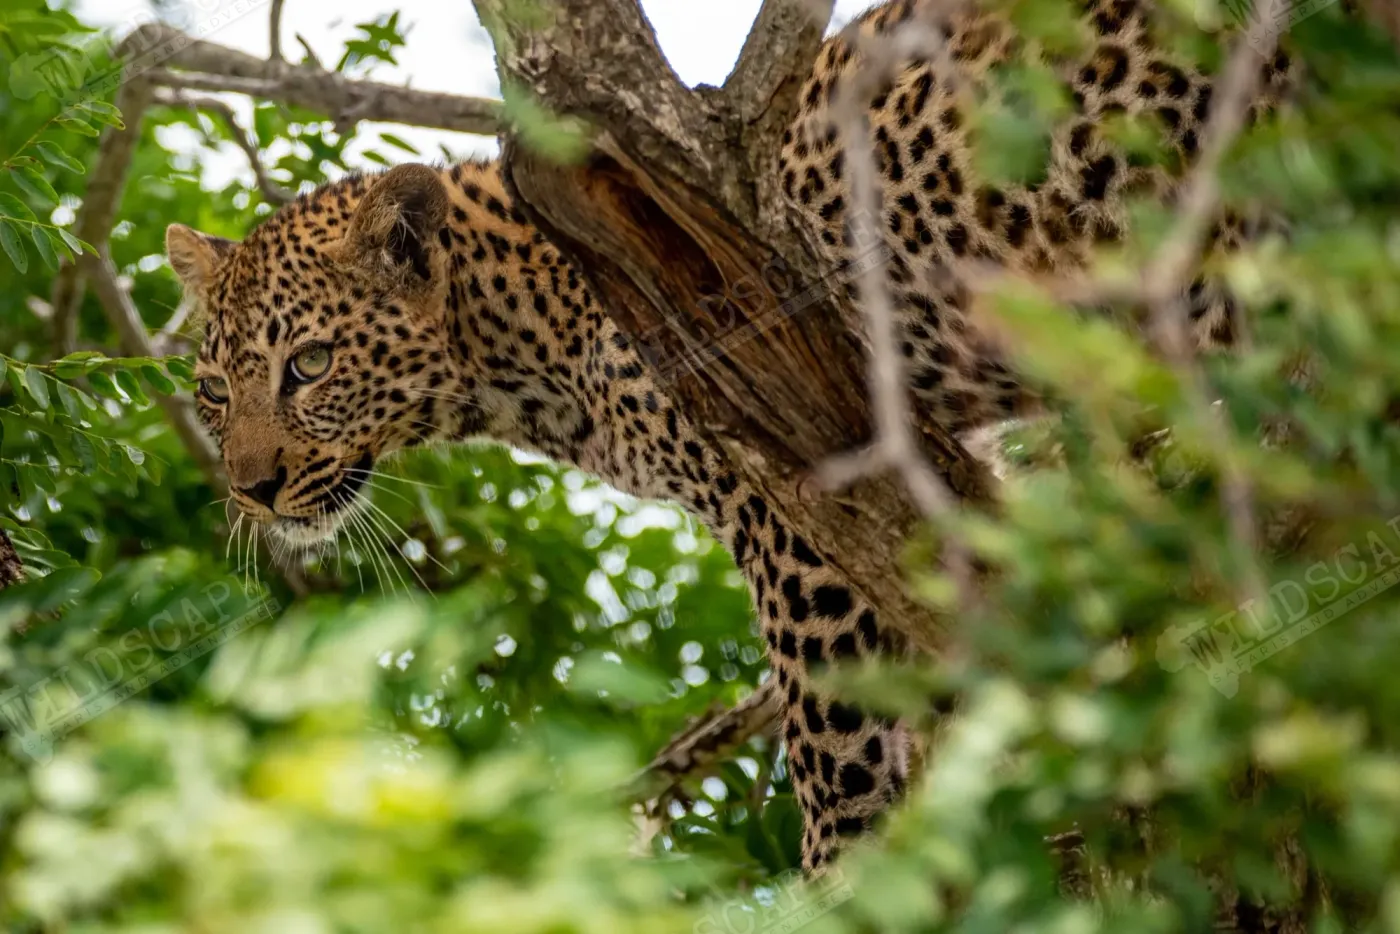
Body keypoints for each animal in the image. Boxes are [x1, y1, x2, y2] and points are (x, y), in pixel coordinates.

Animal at [166, 0, 1296, 874]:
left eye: (310, 366)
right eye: (215, 392)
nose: (251, 488)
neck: (518, 345)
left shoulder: (797, 503)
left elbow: (835, 742)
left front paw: (842, 879)